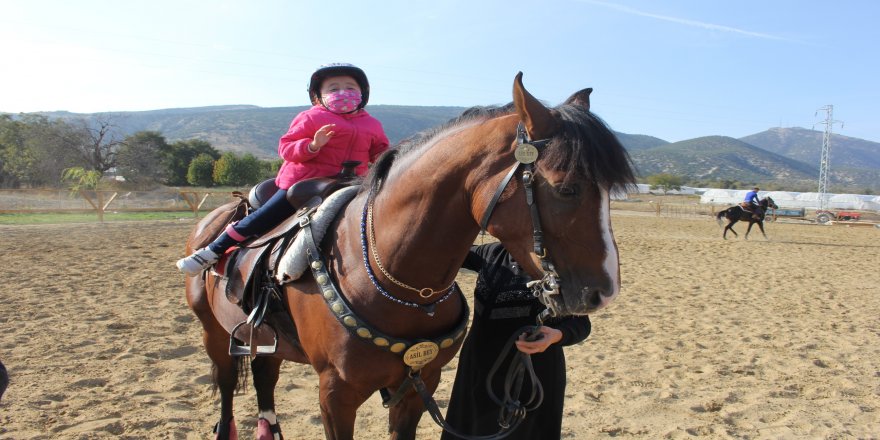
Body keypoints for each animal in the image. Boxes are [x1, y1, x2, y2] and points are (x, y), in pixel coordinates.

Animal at [186, 74, 636, 438]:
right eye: (566, 188)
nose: (604, 292)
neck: (397, 282)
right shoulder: (336, 394)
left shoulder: (420, 387)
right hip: (214, 333)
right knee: (226, 388)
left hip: (265, 340)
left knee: (265, 380)